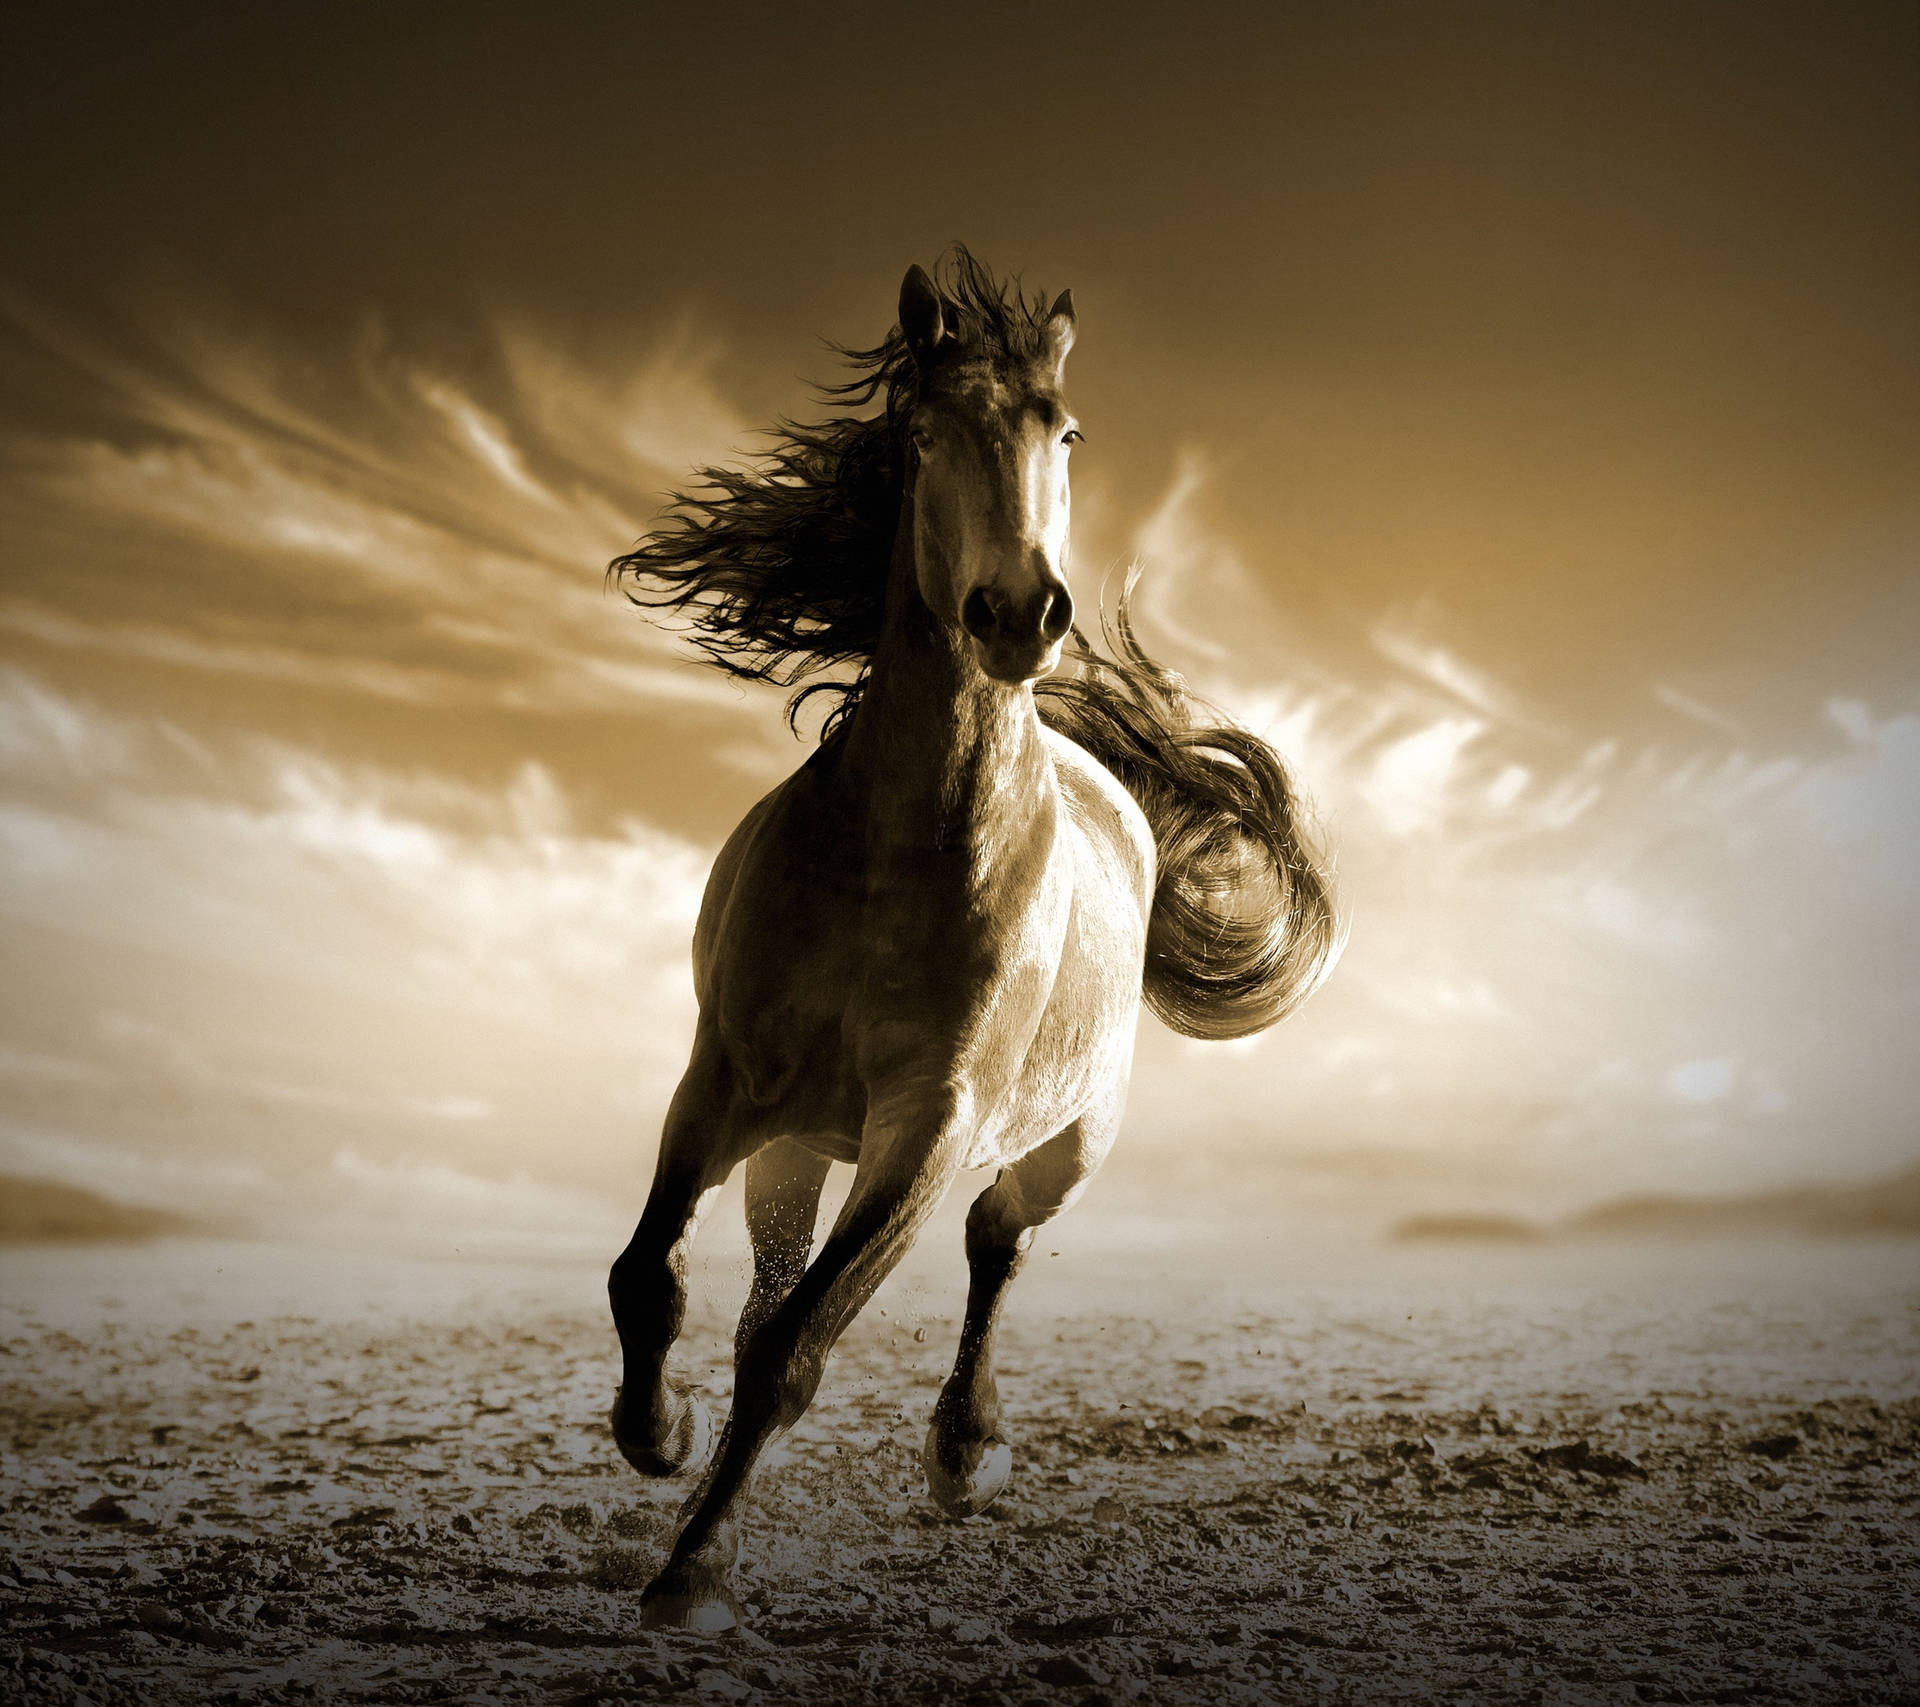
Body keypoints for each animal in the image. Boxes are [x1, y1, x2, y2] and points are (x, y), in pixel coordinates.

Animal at [605, 248, 1339, 1631]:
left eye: (1068, 431)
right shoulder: (721, 1080)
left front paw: (695, 1572)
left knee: (997, 1244)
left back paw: (966, 1450)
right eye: (924, 431)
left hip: (1065, 1141)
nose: (1019, 611)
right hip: (798, 1142)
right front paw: (658, 1434)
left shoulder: (929, 1126)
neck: (898, 855)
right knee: (771, 1271)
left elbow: (796, 1352)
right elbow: (653, 1279)